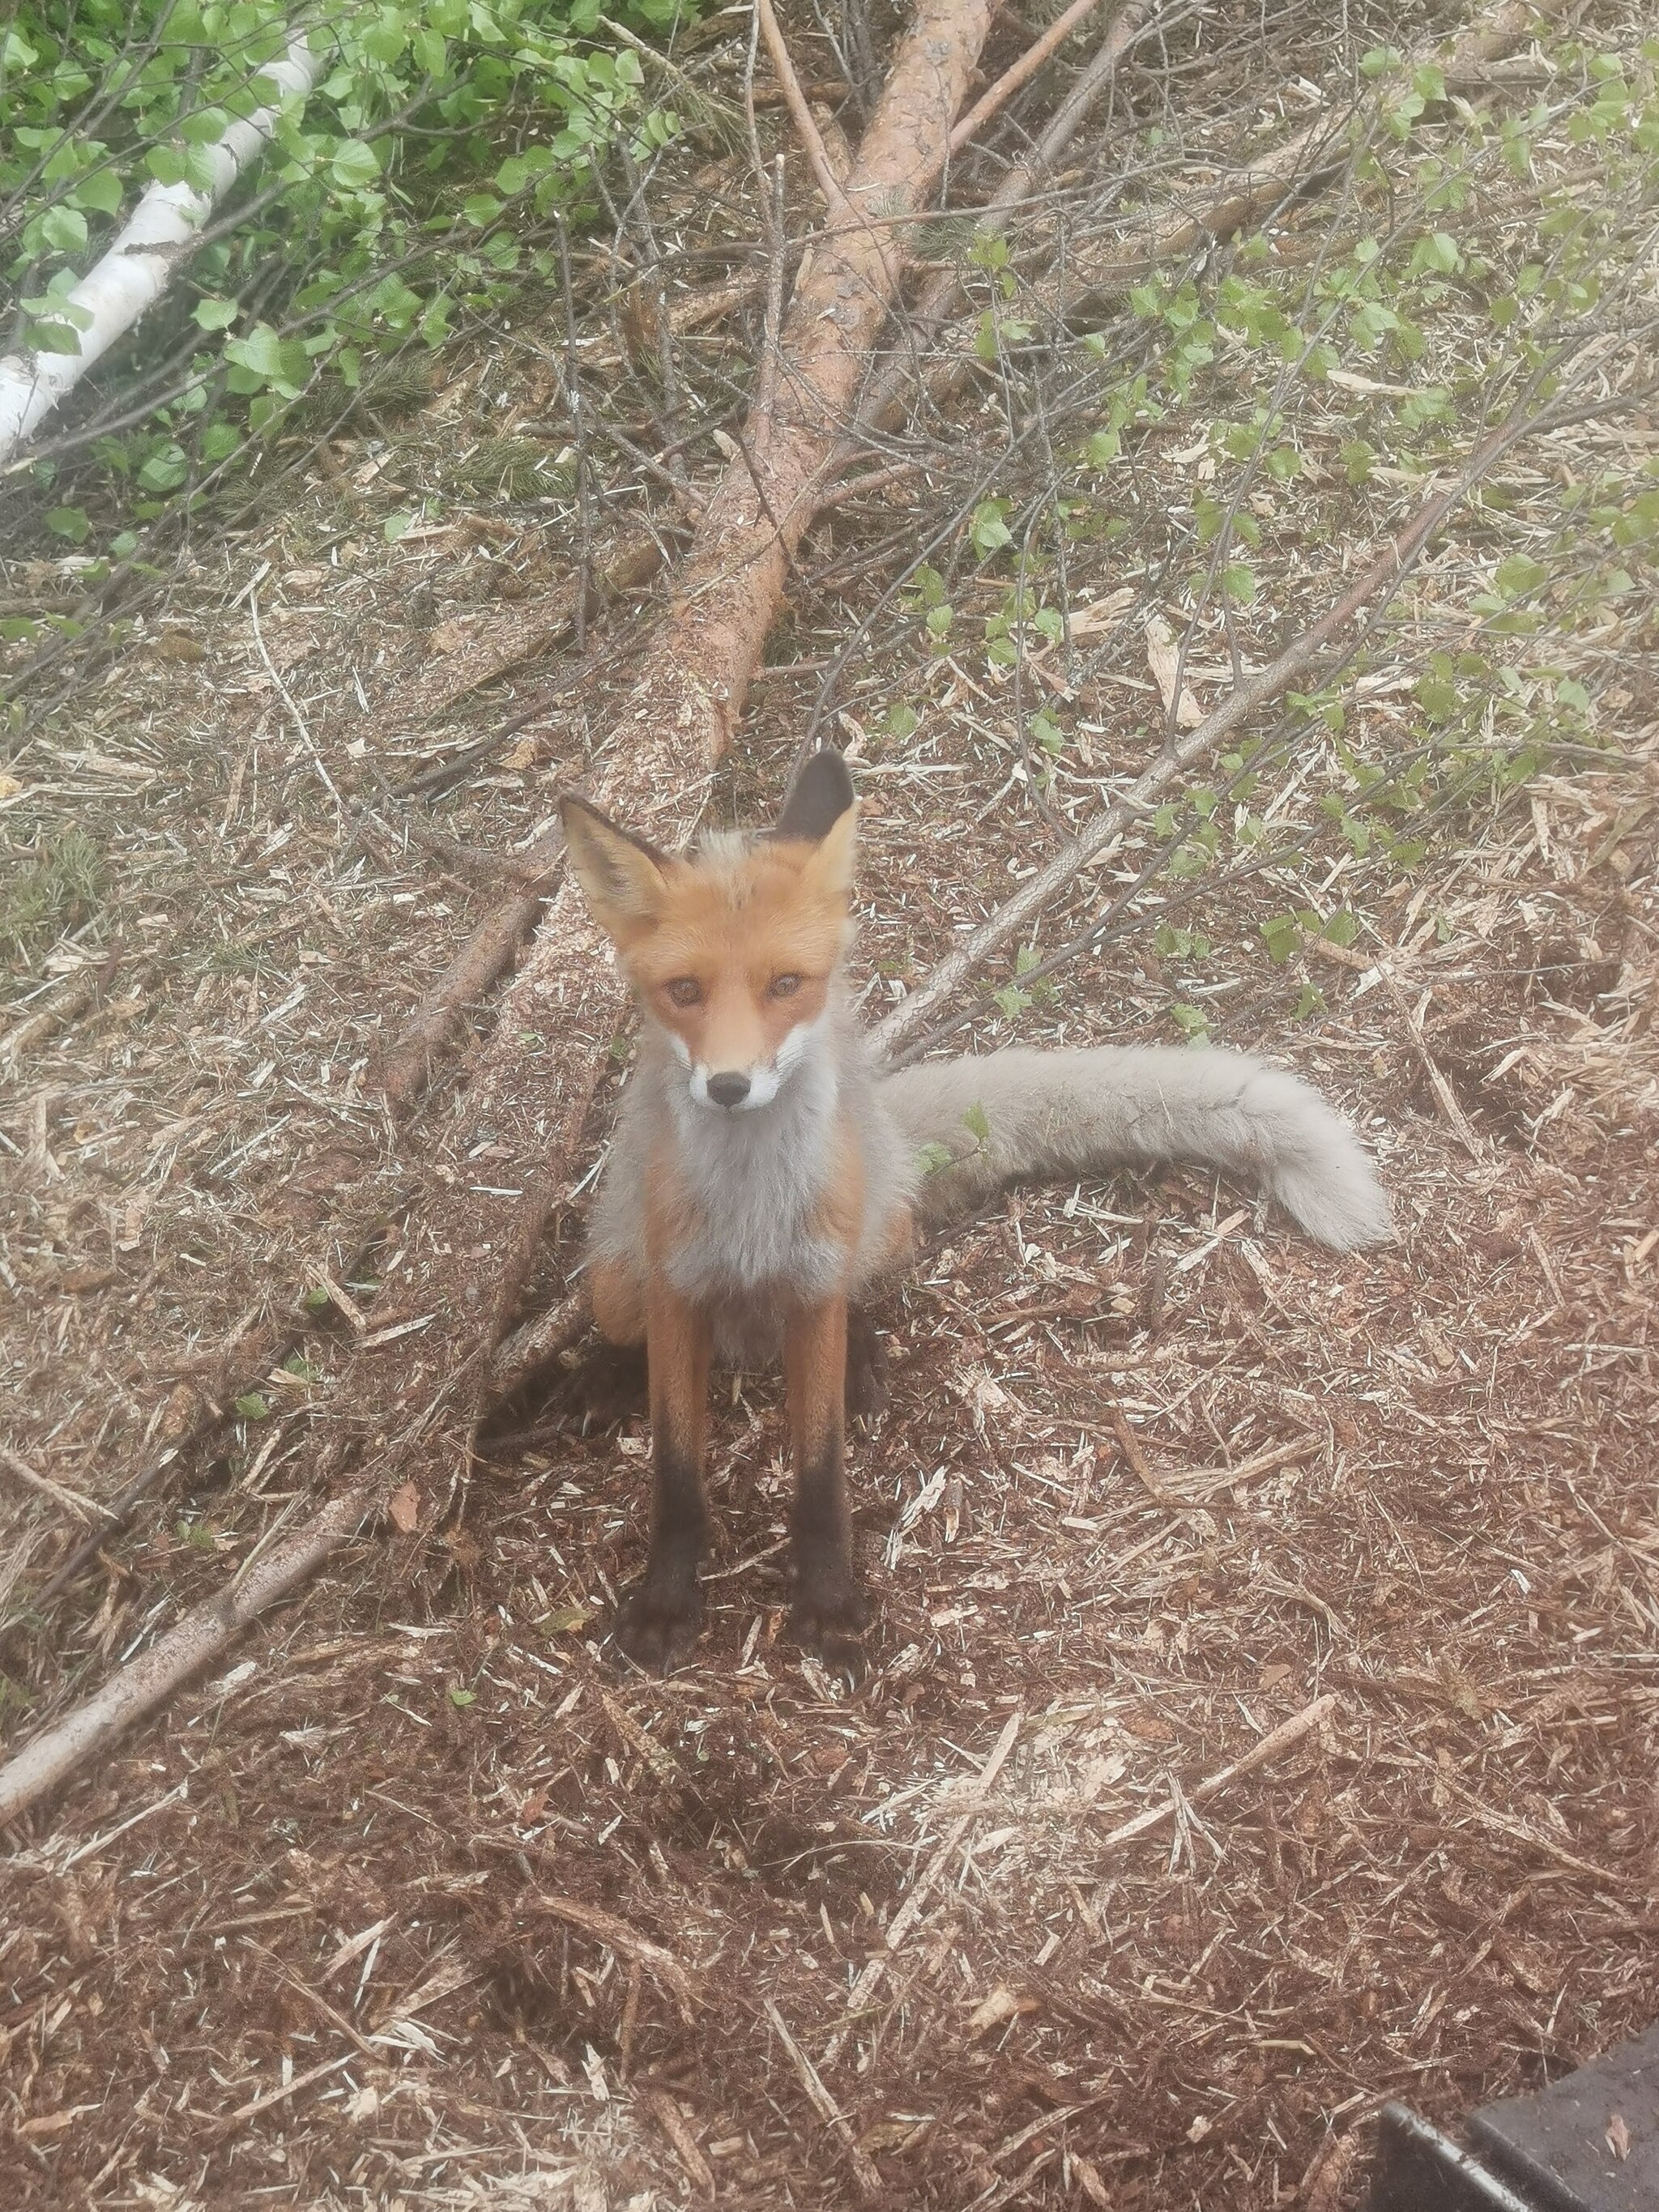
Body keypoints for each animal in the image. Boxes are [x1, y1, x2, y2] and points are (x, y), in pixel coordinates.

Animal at [559, 752, 1388, 1663]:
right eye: (683, 990)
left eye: (785, 985)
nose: (730, 1085)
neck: (751, 1216)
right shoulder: (676, 1292)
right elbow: (675, 1473)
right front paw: (667, 1601)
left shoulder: (812, 1288)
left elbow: (820, 1473)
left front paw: (829, 1603)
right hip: (614, 1274)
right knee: (622, 1328)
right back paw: (600, 1376)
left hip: (875, 1234)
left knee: (864, 1295)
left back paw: (861, 1357)